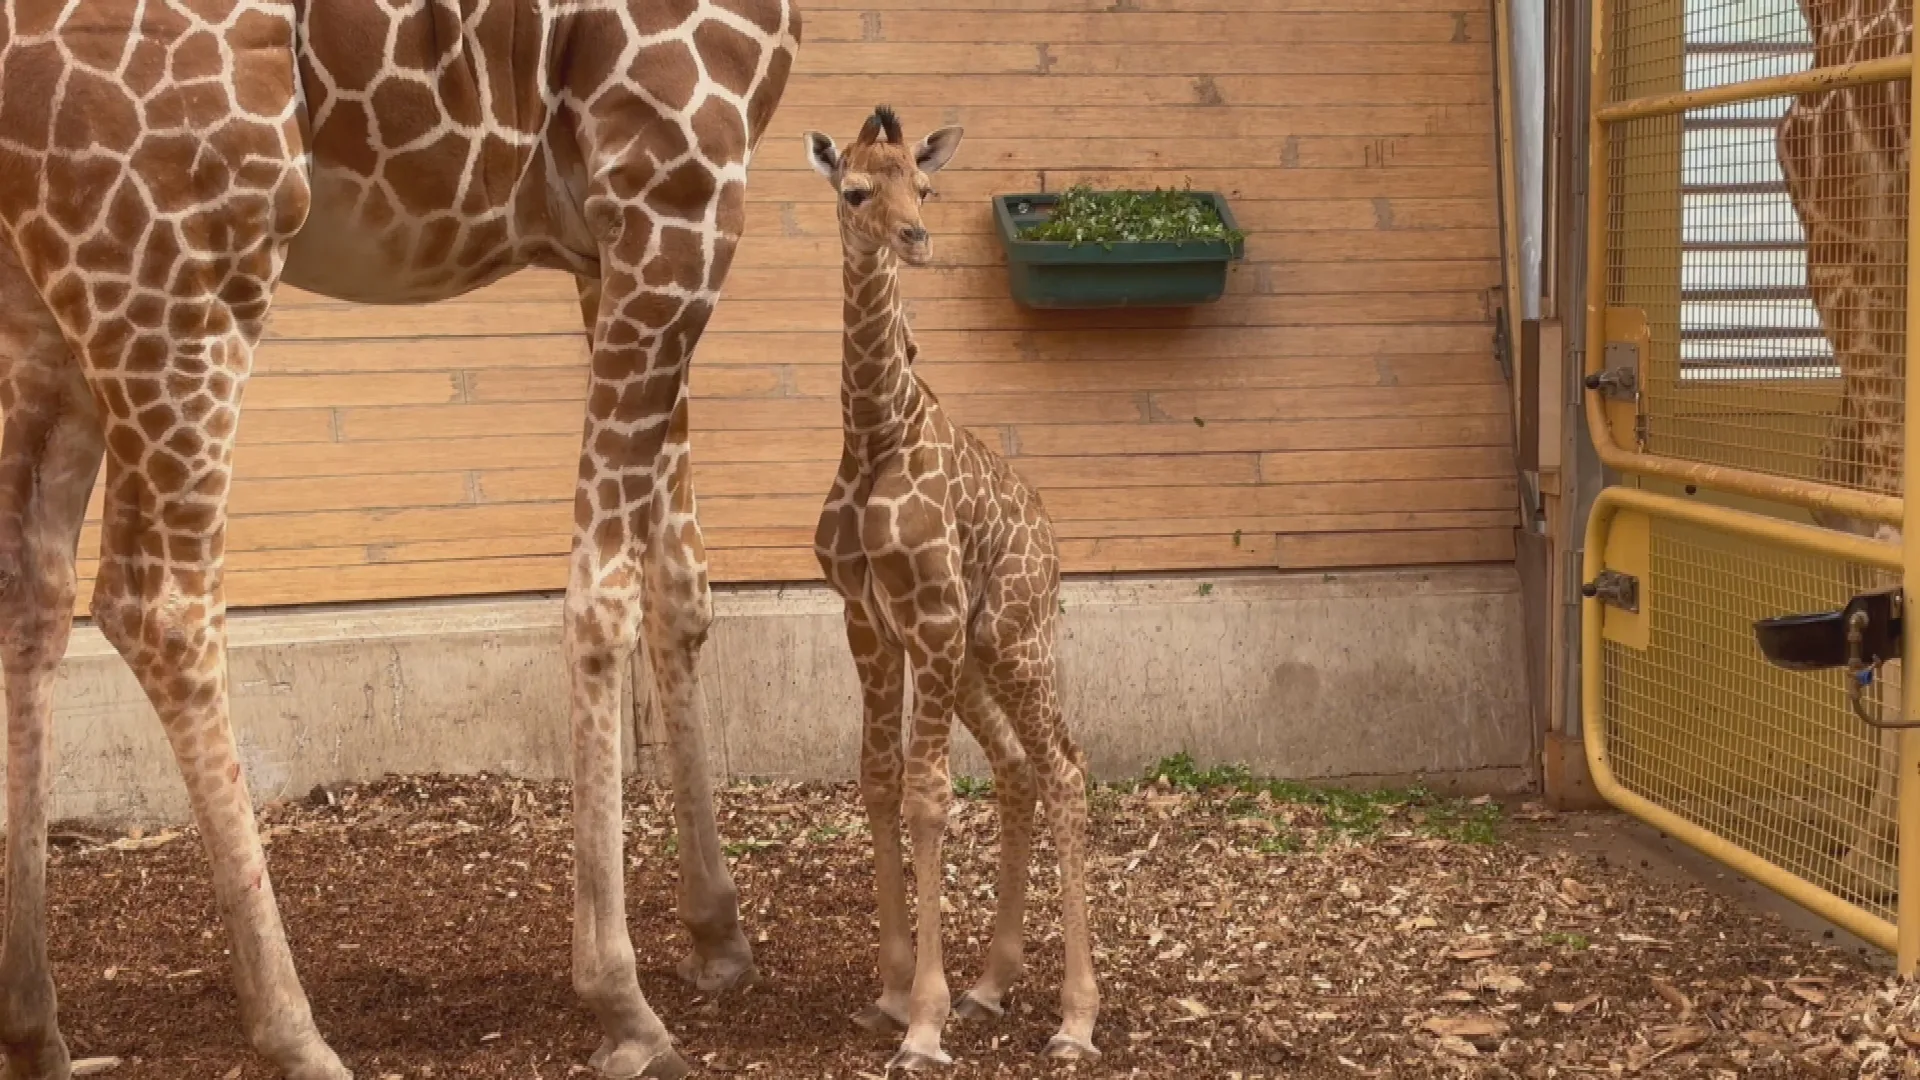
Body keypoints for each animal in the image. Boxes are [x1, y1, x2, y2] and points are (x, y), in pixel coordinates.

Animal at [0, 2, 797, 1078]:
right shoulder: (675, 175)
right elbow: (604, 591)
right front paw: (623, 1004)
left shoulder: (624, 234)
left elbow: (681, 582)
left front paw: (719, 938)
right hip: (188, 236)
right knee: (156, 600)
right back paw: (295, 1034)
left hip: (51, 282)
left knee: (32, 586)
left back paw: (37, 1034)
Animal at [806, 106, 1099, 1071]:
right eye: (856, 191)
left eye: (926, 189)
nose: (917, 239)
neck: (875, 434)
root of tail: (1052, 541)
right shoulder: (867, 622)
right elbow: (877, 779)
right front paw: (895, 994)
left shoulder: (928, 617)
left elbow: (929, 794)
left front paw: (924, 1025)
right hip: (972, 659)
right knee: (1018, 768)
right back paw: (992, 983)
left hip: (1010, 635)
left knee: (1067, 769)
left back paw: (1076, 1019)